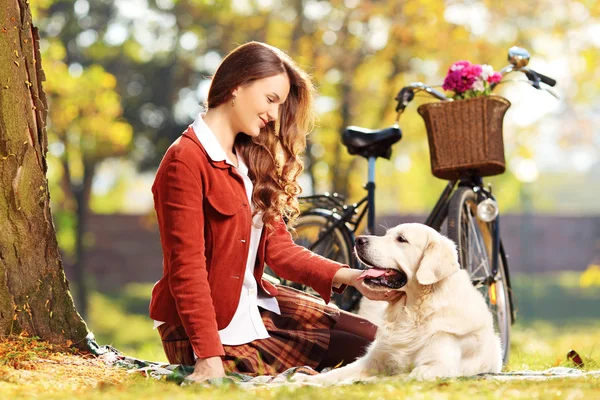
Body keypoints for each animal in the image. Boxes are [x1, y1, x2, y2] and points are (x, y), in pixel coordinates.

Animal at [294, 223, 502, 382]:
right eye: (386, 234)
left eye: (401, 239)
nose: (359, 240)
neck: (412, 311)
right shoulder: (371, 360)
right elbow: (336, 373)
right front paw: (305, 379)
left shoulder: (439, 365)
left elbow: (399, 377)